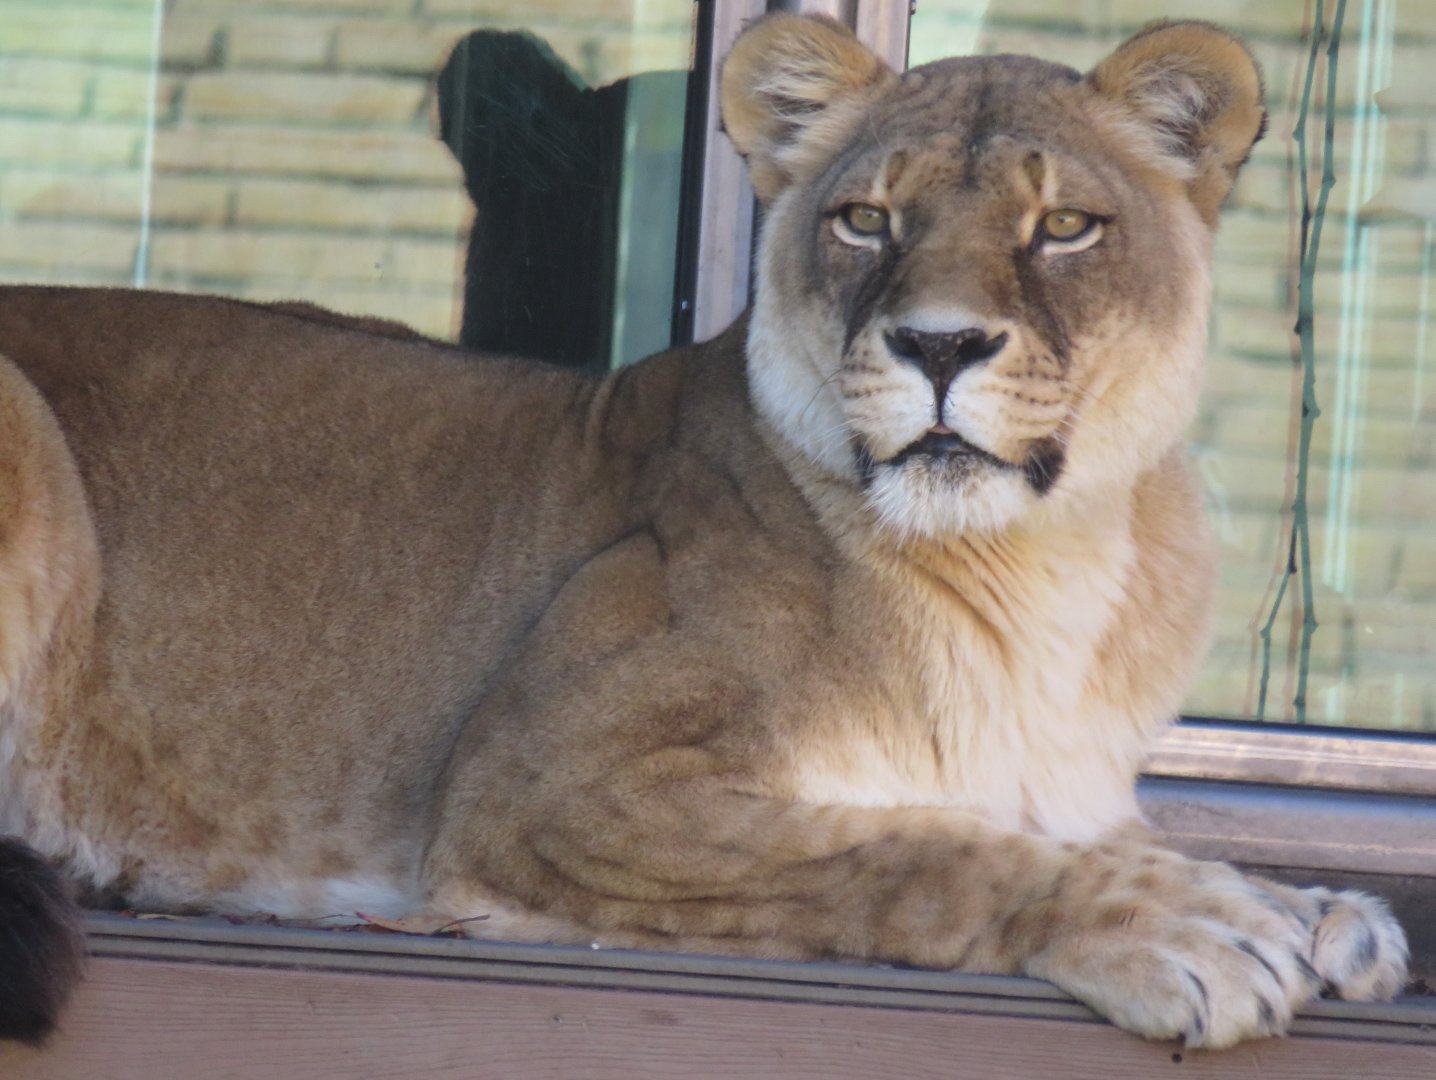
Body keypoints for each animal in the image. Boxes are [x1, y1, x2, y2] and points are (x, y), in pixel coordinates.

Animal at [0, 14, 1408, 1050]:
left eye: (1062, 226)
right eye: (866, 219)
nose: (938, 344)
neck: (1037, 566)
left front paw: (1321, 909)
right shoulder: (548, 794)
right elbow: (919, 849)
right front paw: (1183, 926)